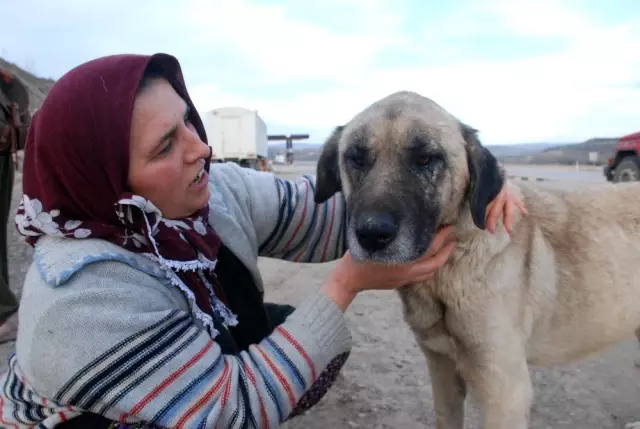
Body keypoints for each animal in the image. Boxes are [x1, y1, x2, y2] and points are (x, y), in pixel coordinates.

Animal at [312, 91, 640, 428]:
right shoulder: (442, 370)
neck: (448, 273)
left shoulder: (505, 391)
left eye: (425, 159)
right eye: (356, 158)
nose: (372, 234)